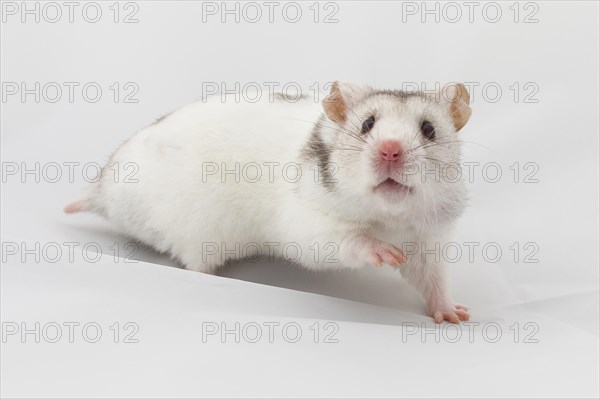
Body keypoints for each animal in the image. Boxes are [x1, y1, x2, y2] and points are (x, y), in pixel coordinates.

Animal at [65, 83, 474, 324]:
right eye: (367, 125)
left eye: (428, 129)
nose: (390, 151)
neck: (388, 216)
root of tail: (102, 191)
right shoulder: (308, 223)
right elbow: (345, 240)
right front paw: (384, 253)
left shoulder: (429, 239)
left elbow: (431, 278)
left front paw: (454, 314)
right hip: (193, 234)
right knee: (194, 262)